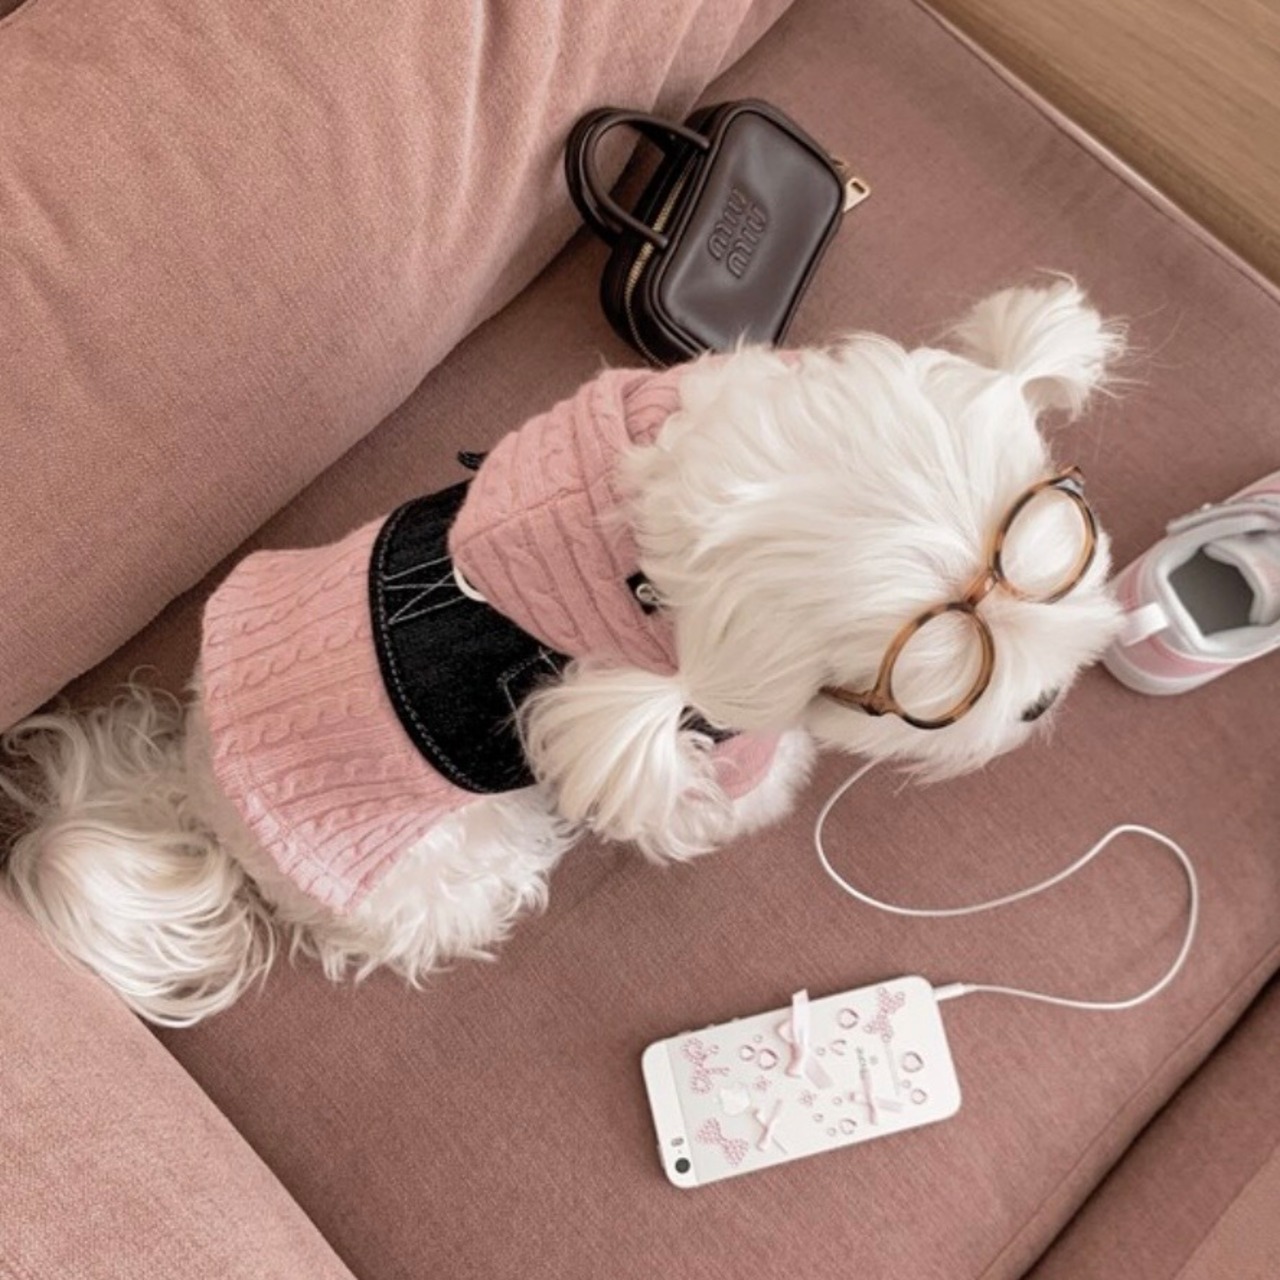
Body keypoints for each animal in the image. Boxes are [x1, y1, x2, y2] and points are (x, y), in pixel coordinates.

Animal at [0, 279, 1124, 1026]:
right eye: (946, 684)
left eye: (1060, 557)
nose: (1043, 704)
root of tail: (202, 797)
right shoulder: (674, 713)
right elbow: (718, 775)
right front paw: (765, 787)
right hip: (451, 859)